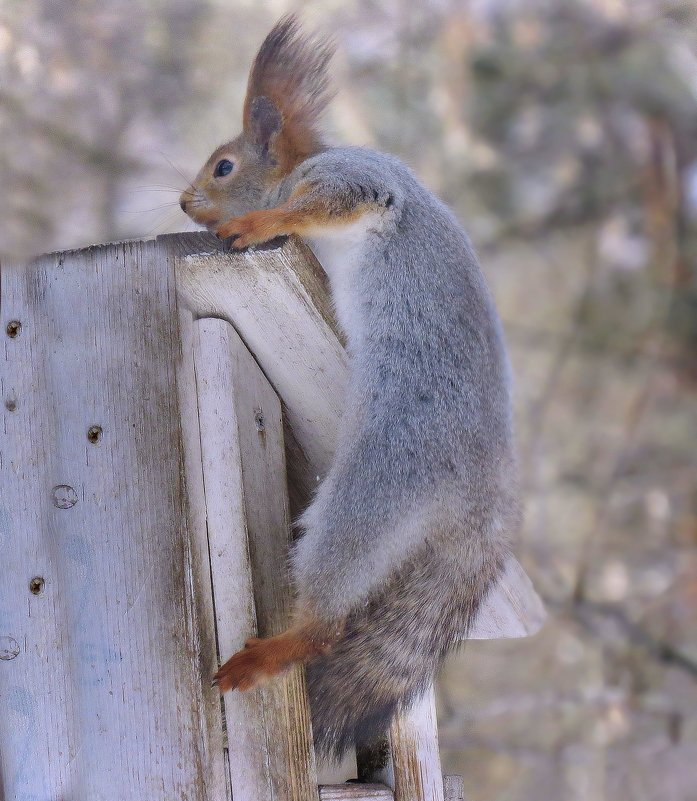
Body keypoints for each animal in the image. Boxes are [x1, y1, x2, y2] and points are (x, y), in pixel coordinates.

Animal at [179, 15, 516, 760]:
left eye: (224, 165)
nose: (184, 203)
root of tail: (482, 502)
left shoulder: (356, 182)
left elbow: (322, 207)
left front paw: (252, 224)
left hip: (371, 498)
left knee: (329, 622)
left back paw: (263, 656)